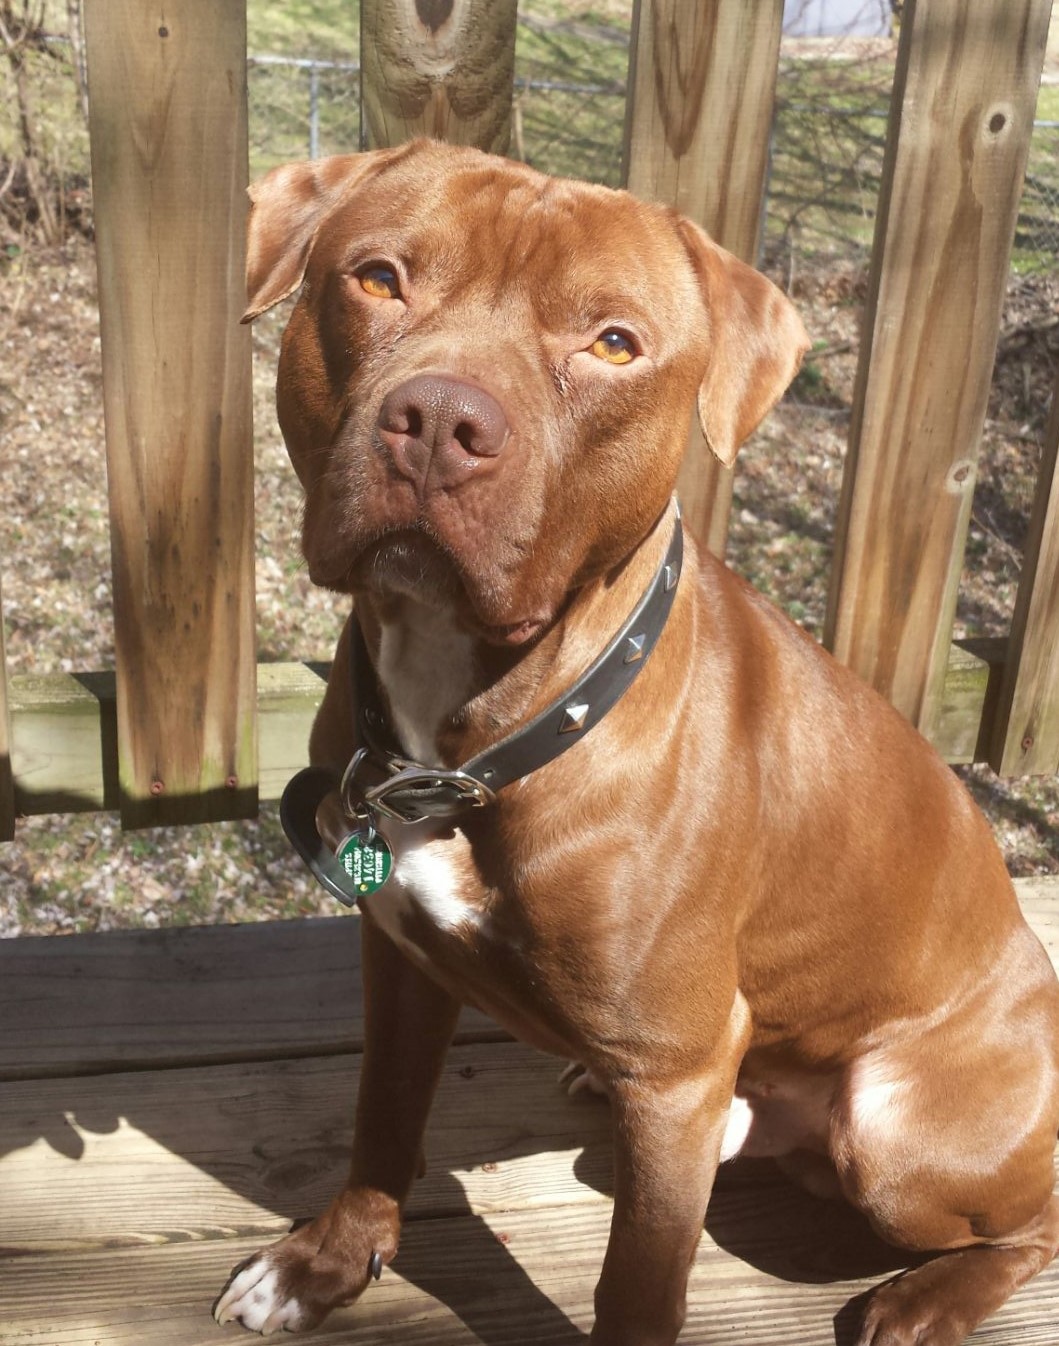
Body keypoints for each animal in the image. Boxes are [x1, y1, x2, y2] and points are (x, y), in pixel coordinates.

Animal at [215, 142, 1059, 1340]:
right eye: (378, 279)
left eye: (613, 343)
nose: (440, 420)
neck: (484, 734)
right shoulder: (402, 959)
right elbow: (382, 1115)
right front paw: (325, 1261)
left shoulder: (672, 1084)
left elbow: (637, 1283)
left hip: (893, 1133)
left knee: (1033, 1221)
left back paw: (925, 1300)